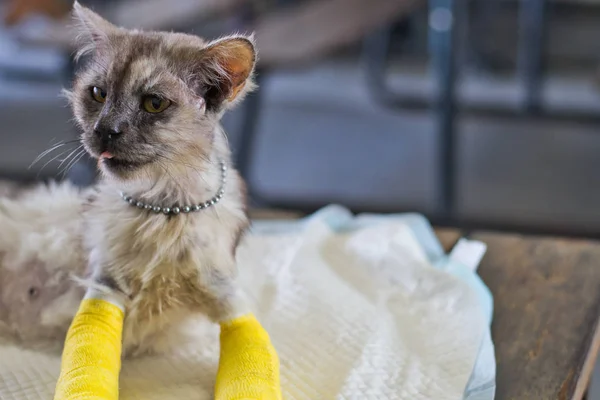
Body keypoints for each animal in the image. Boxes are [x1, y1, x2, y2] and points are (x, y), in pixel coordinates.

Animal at [0, 1, 255, 354]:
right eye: (97, 93)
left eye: (154, 103)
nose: (104, 131)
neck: (164, 208)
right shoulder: (105, 284)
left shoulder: (223, 289)